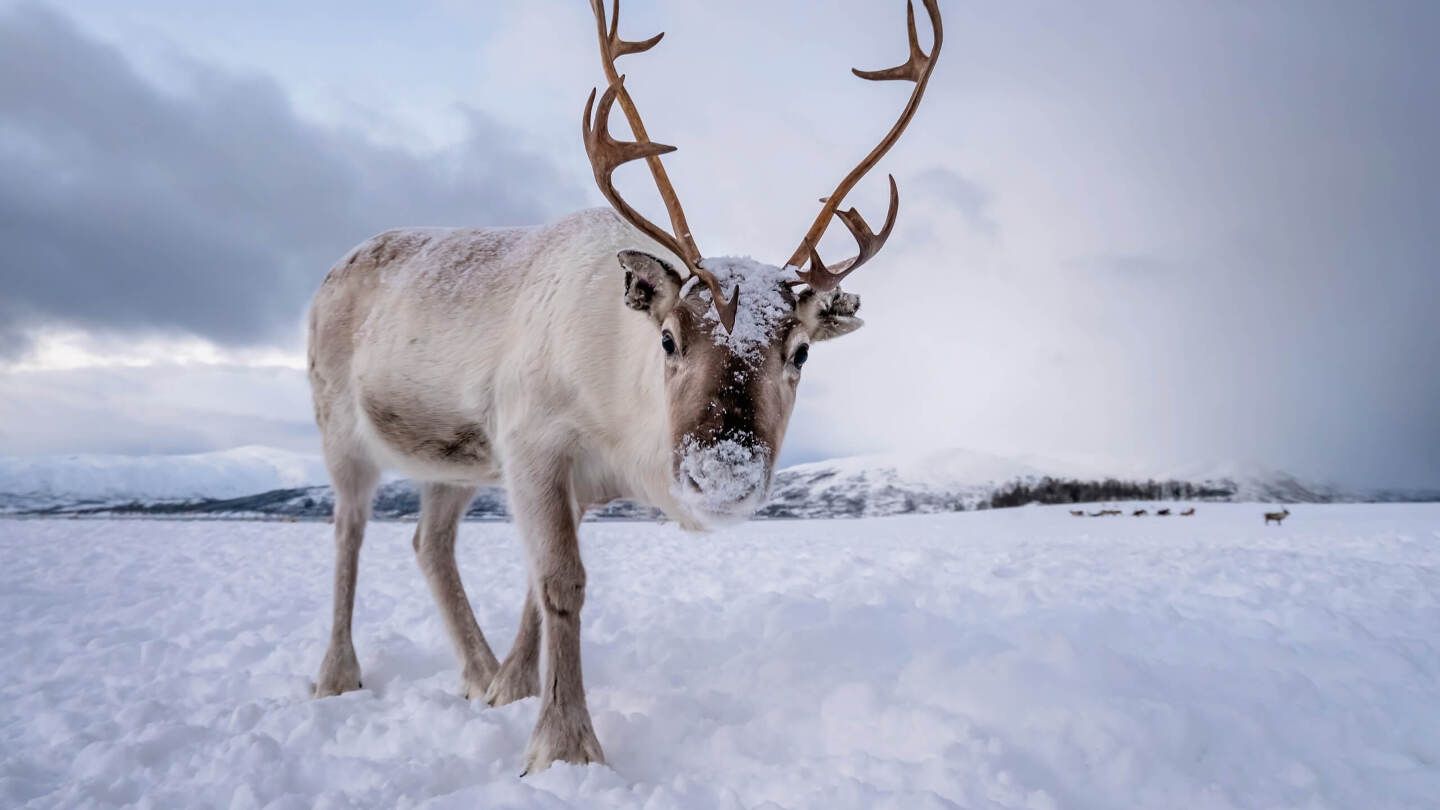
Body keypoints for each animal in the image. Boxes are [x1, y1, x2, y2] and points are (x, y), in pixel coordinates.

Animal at [305, 0, 943, 774]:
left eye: (799, 352)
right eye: (668, 338)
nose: (722, 472)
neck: (619, 424)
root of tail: (334, 269)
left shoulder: (568, 480)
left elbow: (535, 584)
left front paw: (513, 689)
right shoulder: (532, 443)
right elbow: (561, 582)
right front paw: (564, 746)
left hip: (451, 461)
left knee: (429, 543)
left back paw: (477, 673)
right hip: (340, 427)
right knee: (348, 531)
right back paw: (337, 675)